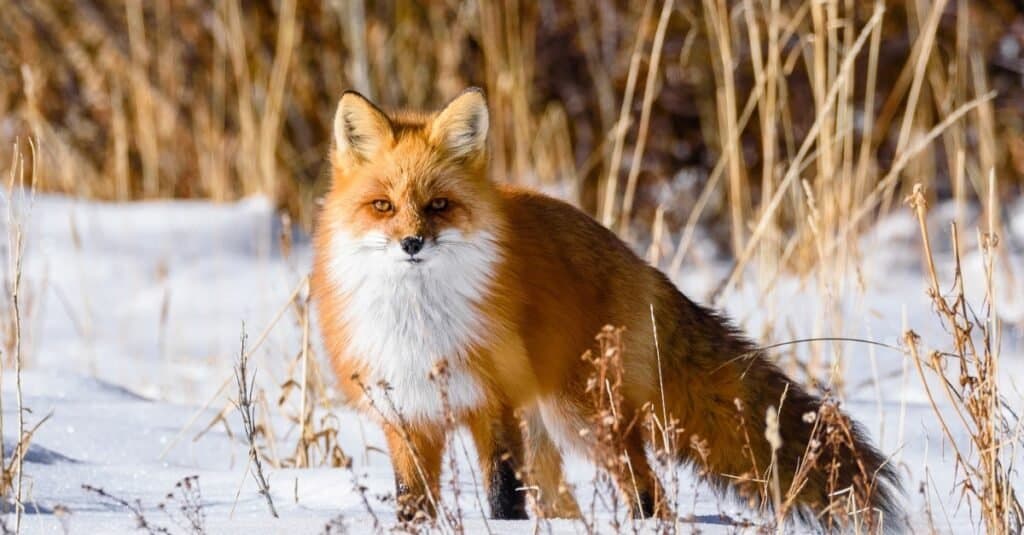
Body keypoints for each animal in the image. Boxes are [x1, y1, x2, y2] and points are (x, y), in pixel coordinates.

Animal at [307, 87, 901, 524]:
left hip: (585, 416)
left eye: (438, 206)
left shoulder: (494, 403)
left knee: (647, 489)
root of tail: (636, 260)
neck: (419, 324)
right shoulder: (404, 413)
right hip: (550, 430)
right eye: (383, 206)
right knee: (565, 501)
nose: (412, 243)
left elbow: (502, 493)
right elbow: (414, 502)